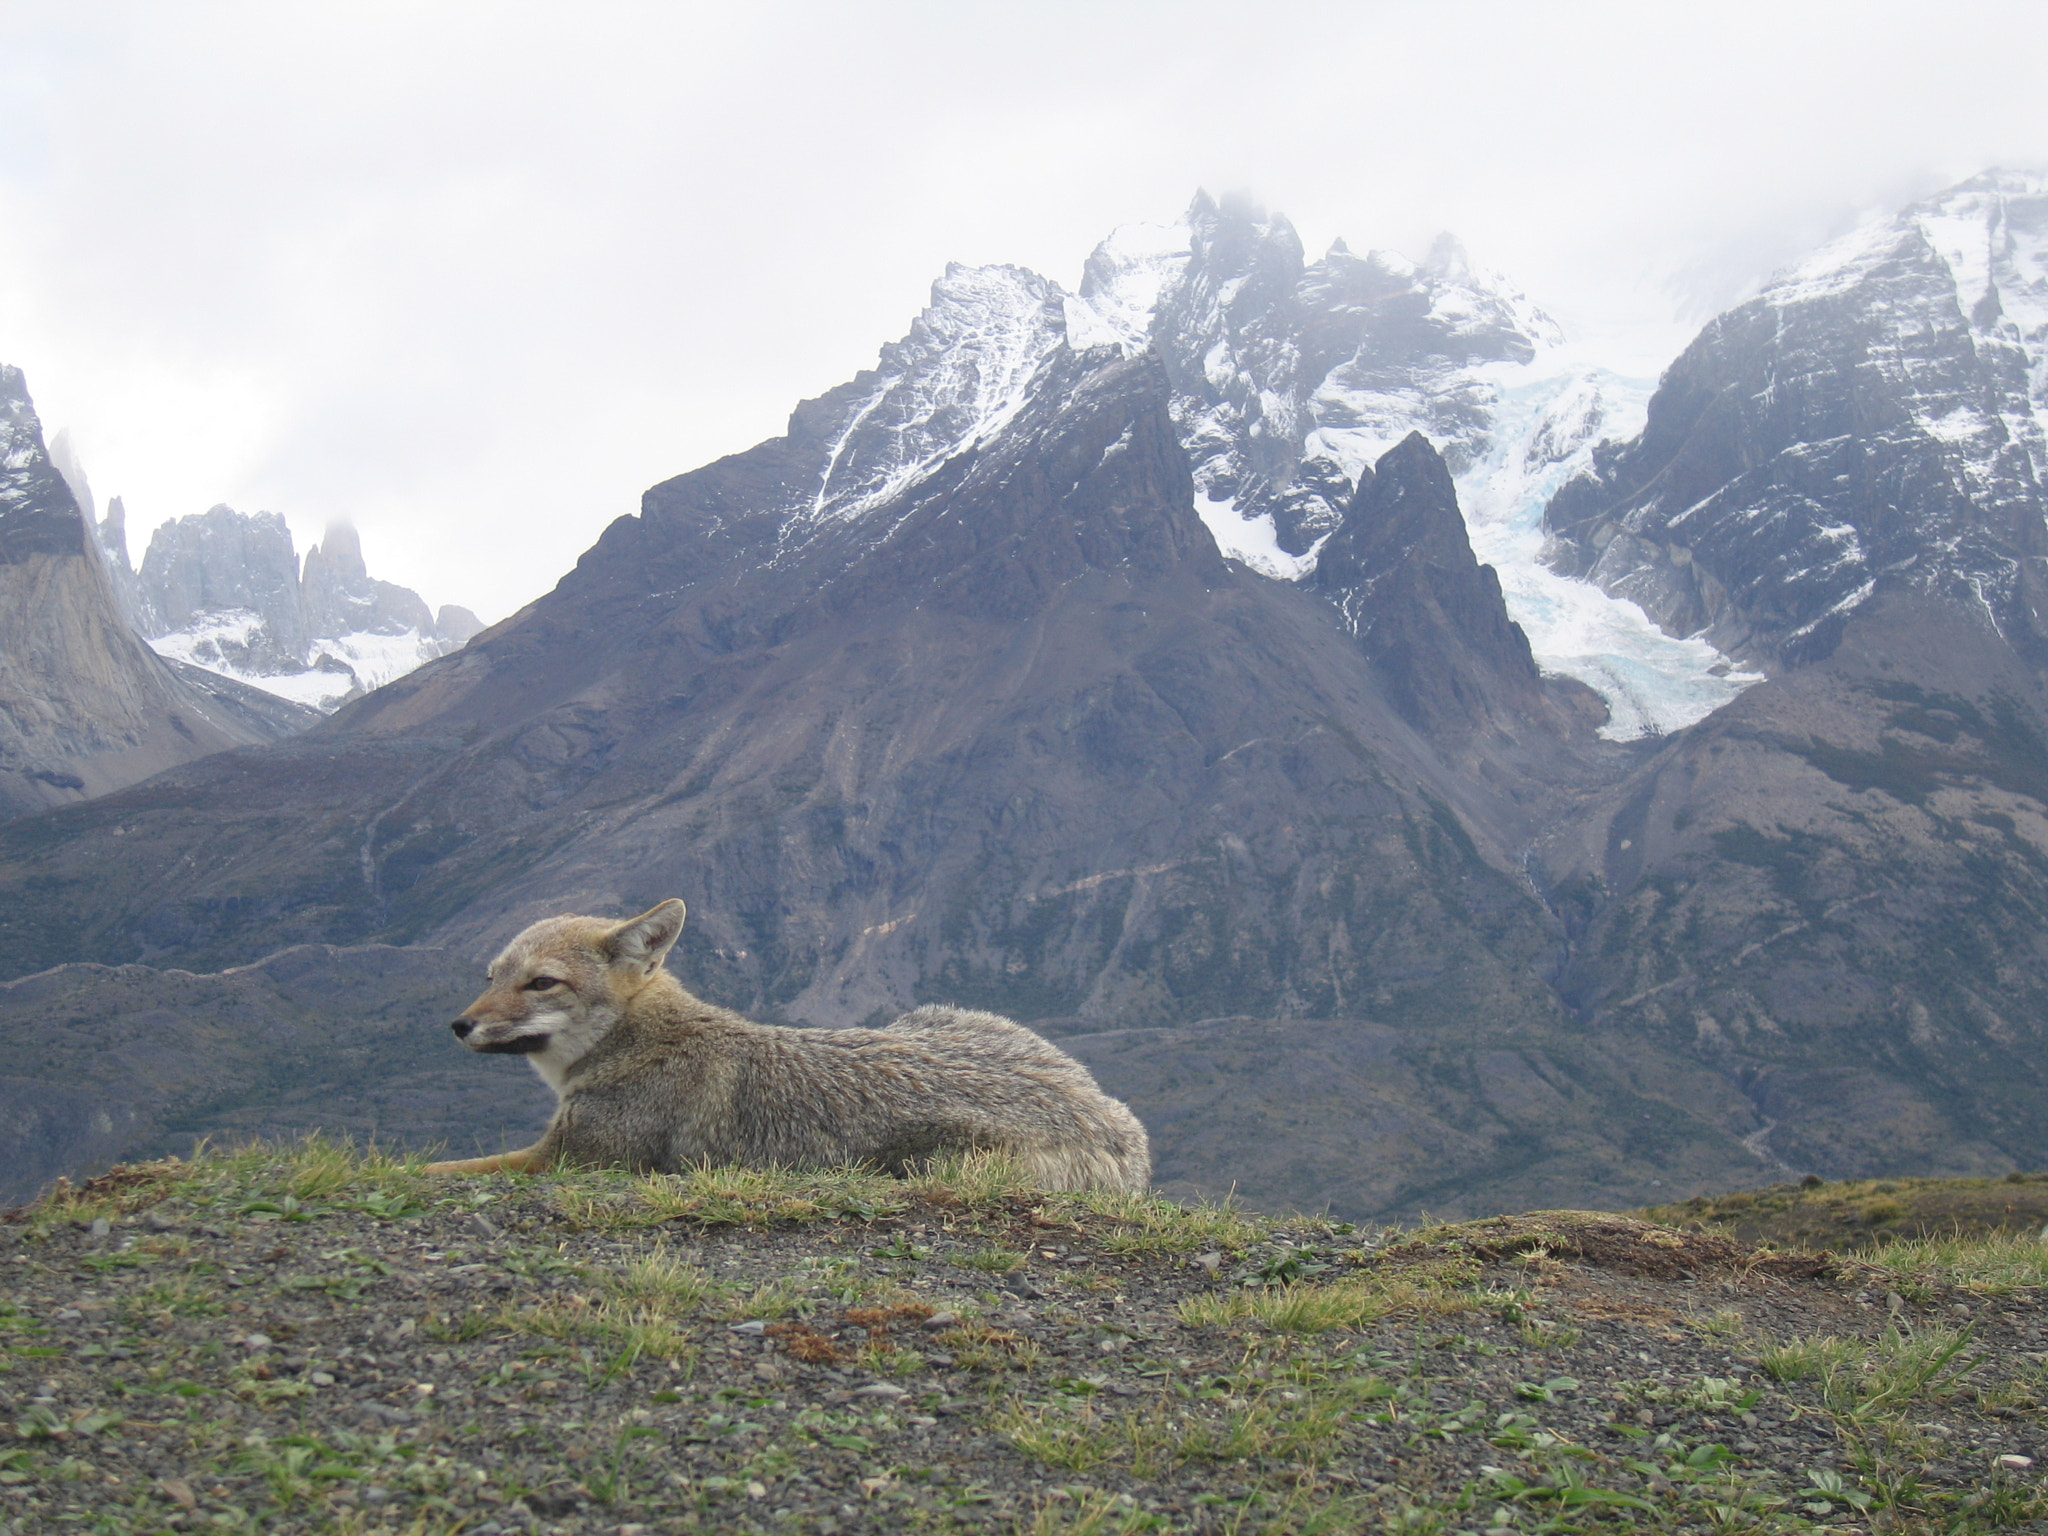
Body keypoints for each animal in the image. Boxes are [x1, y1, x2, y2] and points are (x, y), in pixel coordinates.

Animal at [424, 899, 1151, 1193]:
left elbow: (437, 1167)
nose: (459, 1025)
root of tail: (1116, 1121)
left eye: (541, 983)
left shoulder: (569, 1161)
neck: (645, 1041)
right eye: (491, 978)